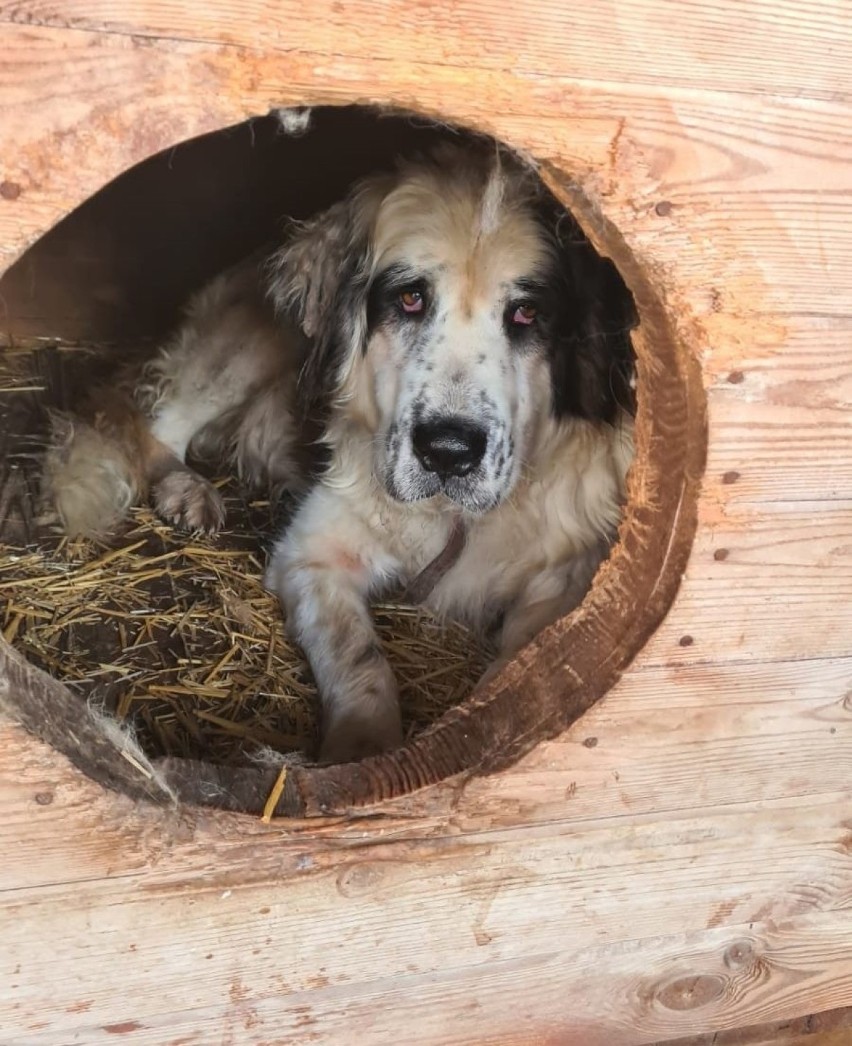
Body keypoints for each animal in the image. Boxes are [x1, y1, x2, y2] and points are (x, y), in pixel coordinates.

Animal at [43, 147, 635, 765]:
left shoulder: (568, 576)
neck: (451, 520)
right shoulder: (313, 555)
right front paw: (362, 749)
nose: (448, 452)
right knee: (155, 424)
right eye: (409, 298)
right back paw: (185, 488)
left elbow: (525, 658)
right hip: (254, 344)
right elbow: (360, 658)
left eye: (526, 314)